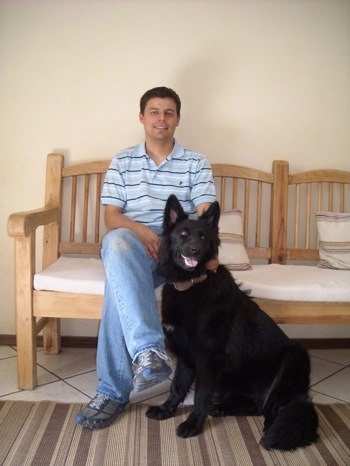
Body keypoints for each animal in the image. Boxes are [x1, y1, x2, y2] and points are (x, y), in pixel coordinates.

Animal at [146, 196, 318, 452]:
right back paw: (221, 408)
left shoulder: (207, 358)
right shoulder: (186, 355)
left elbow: (200, 395)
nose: (195, 250)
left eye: (203, 237)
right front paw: (166, 410)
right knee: (257, 405)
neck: (193, 284)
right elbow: (177, 386)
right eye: (183, 234)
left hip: (295, 356)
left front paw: (193, 424)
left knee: (271, 407)